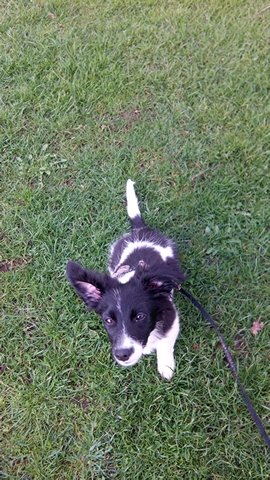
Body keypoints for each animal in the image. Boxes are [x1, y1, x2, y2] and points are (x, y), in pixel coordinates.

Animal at [66, 180, 187, 378]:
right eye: (108, 320)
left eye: (140, 316)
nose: (123, 354)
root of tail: (139, 230)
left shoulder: (170, 316)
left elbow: (166, 343)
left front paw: (166, 366)